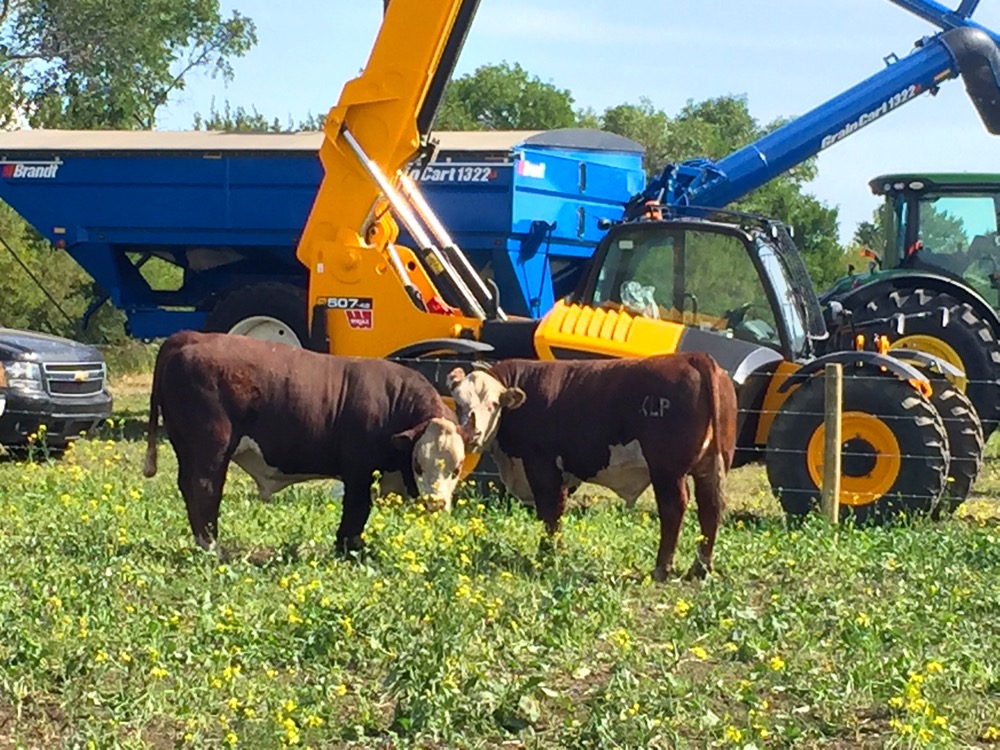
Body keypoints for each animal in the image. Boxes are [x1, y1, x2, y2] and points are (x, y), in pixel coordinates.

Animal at [142, 331, 470, 555]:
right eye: (418, 465)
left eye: (456, 470)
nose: (436, 504)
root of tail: (191, 337)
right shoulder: (357, 470)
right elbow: (356, 510)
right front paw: (348, 549)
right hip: (210, 448)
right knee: (203, 488)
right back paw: (212, 548)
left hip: (186, 446)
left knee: (189, 487)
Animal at [447, 353, 738, 580]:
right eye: (459, 403)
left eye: (493, 404)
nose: (473, 432)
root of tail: (693, 357)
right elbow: (559, 511)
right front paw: (557, 550)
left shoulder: (541, 465)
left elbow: (549, 512)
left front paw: (546, 555)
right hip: (712, 464)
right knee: (711, 508)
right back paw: (699, 569)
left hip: (667, 470)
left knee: (674, 509)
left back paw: (662, 569)